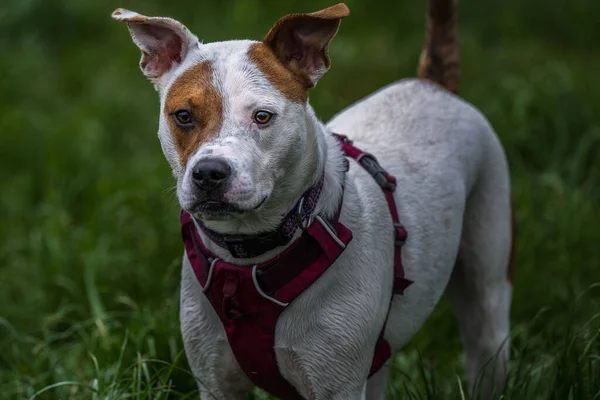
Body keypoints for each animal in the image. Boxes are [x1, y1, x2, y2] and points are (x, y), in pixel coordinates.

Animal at [113, 0, 516, 396]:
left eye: (262, 116)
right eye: (183, 115)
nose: (209, 173)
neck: (250, 257)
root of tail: (431, 85)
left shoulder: (335, 384)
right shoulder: (215, 381)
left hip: (488, 296)